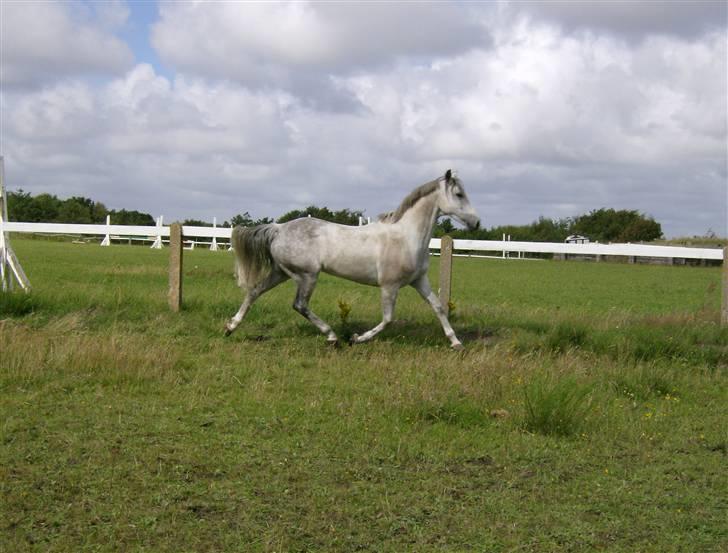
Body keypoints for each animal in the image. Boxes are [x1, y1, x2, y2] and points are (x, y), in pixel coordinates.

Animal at [225, 169, 480, 350]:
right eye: (459, 194)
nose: (476, 223)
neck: (406, 237)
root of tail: (278, 228)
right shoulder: (389, 286)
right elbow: (388, 319)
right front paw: (357, 338)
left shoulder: (419, 280)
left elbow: (438, 307)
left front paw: (456, 343)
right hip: (307, 275)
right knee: (299, 305)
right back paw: (333, 337)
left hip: (281, 272)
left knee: (255, 291)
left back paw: (230, 327)